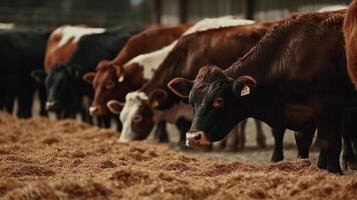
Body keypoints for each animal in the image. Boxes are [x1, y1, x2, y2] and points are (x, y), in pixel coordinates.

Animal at [168, 11, 350, 173]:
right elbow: (305, 142)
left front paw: (334, 171)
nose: (192, 138)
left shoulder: (325, 105)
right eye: (191, 102)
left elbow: (329, 142)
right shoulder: (308, 114)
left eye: (218, 101)